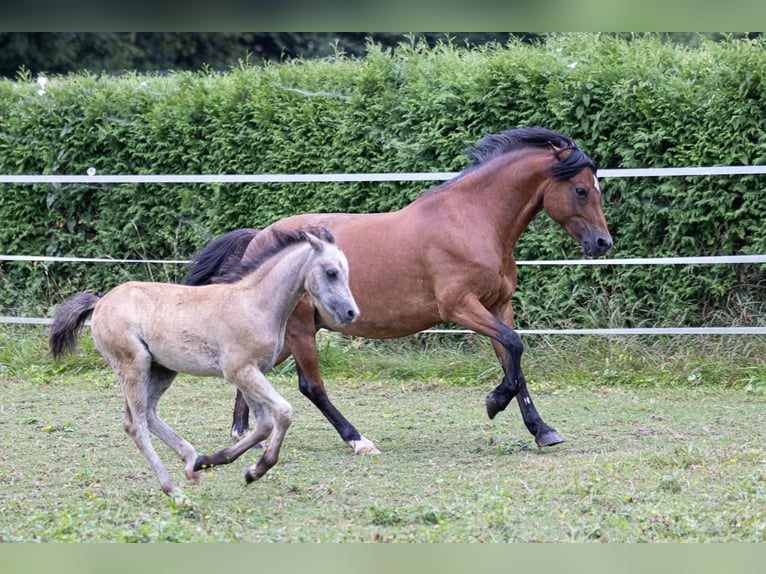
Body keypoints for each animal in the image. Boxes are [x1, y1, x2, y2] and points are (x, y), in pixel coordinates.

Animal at [49, 227, 362, 498]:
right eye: (331, 272)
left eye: (346, 272)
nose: (351, 313)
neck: (254, 304)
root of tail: (100, 302)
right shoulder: (240, 371)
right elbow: (283, 413)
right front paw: (257, 469)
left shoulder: (251, 373)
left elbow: (262, 425)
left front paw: (214, 461)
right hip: (134, 366)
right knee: (135, 424)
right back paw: (173, 491)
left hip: (162, 370)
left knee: (148, 414)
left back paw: (191, 461)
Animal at [189, 127, 616, 460]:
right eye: (581, 190)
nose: (602, 243)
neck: (473, 220)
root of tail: (258, 239)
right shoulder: (460, 307)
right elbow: (514, 347)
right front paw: (494, 404)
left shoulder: (499, 306)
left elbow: (514, 359)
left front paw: (543, 430)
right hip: (299, 330)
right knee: (310, 386)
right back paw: (358, 441)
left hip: (289, 333)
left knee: (251, 371)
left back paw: (247, 436)